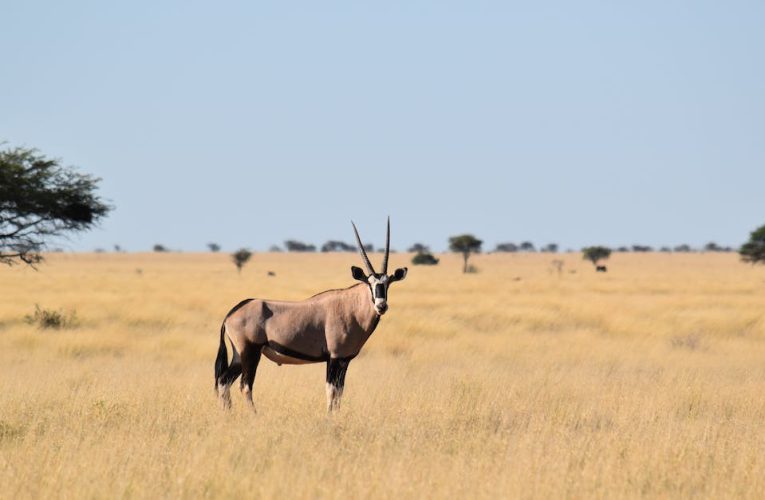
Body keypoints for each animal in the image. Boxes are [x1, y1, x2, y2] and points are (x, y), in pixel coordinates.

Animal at [213, 218, 406, 410]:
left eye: (388, 283)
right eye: (369, 283)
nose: (381, 305)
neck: (351, 308)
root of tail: (232, 313)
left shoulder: (344, 360)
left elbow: (340, 392)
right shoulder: (334, 358)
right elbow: (331, 391)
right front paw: (329, 416)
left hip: (239, 355)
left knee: (224, 381)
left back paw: (228, 412)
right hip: (250, 353)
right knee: (245, 385)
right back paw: (254, 414)